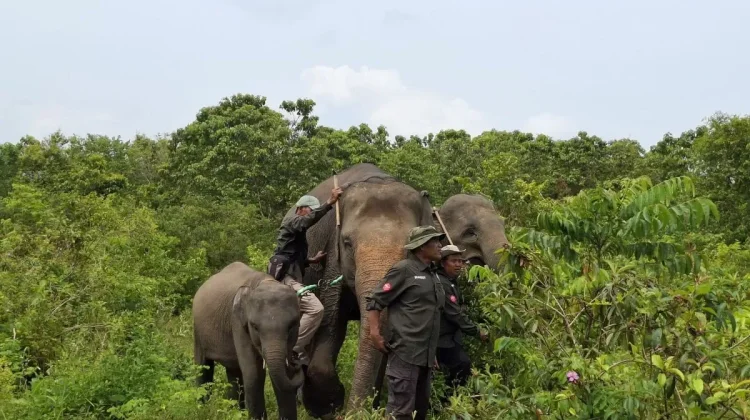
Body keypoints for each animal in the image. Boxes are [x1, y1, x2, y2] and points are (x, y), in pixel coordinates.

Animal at [193, 261, 305, 420]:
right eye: (255, 326)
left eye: (292, 325)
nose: (297, 360)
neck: (265, 282)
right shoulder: (238, 322)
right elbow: (253, 374)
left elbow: (283, 376)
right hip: (197, 329)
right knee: (203, 367)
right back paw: (202, 409)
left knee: (233, 373)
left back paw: (234, 411)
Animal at [288, 163, 433, 418]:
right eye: (347, 243)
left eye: (409, 247)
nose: (351, 413)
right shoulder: (332, 254)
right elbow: (331, 321)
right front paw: (328, 407)